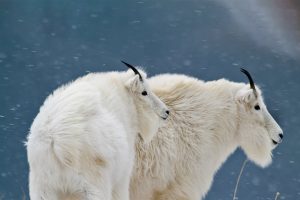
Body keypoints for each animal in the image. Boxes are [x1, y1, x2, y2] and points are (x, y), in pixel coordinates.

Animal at [25, 61, 169, 200]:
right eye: (144, 92)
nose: (166, 111)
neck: (125, 99)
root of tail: (57, 141)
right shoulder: (121, 178)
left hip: (43, 188)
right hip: (94, 184)